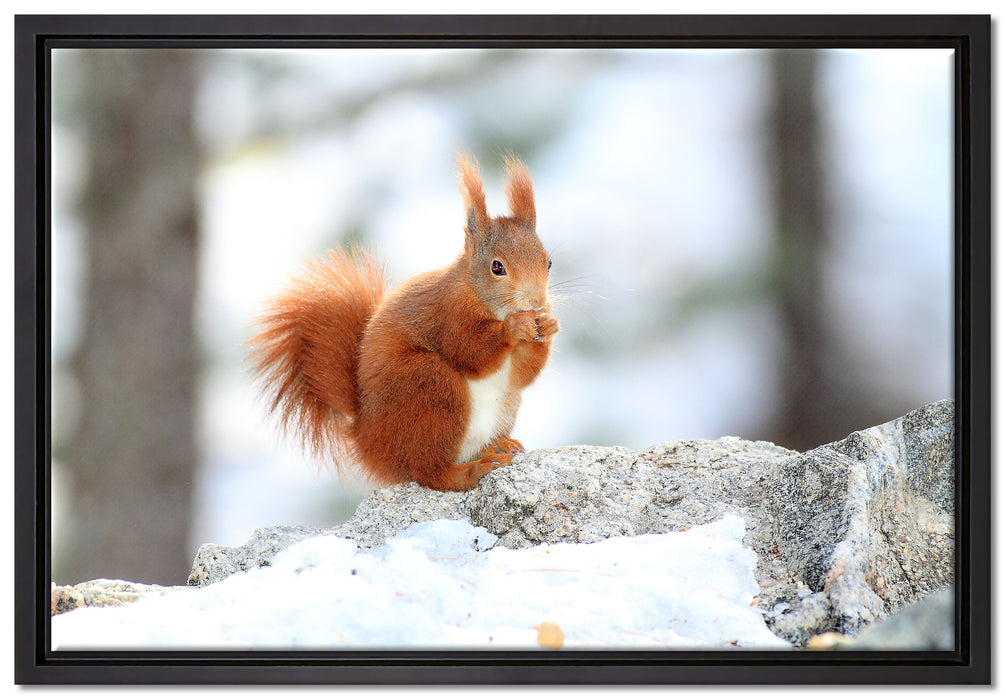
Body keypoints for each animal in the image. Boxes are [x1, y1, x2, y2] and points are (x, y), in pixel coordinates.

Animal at [248, 153, 559, 492]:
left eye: (548, 262)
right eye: (497, 267)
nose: (537, 301)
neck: (485, 299)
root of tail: (367, 441)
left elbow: (521, 376)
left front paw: (549, 326)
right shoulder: (448, 314)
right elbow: (471, 352)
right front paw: (512, 328)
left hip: (500, 405)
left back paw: (497, 446)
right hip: (428, 386)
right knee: (430, 472)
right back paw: (472, 470)